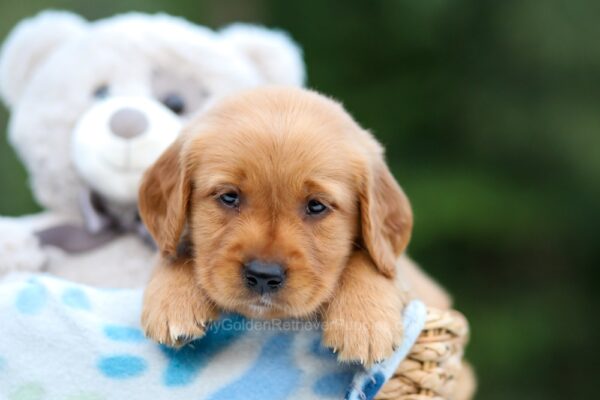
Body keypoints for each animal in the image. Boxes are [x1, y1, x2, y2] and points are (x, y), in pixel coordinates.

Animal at [139, 87, 450, 366]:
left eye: (316, 206)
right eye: (229, 197)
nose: (263, 276)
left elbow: (370, 262)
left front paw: (364, 322)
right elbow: (174, 251)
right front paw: (174, 302)